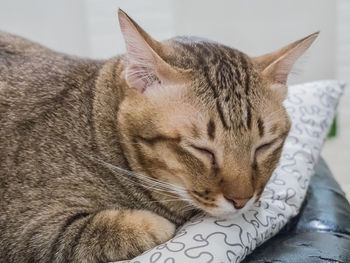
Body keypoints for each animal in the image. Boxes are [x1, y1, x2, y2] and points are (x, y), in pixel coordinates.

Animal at [0, 8, 318, 263]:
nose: (241, 200)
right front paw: (158, 224)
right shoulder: (27, 231)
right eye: (201, 149)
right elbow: (84, 236)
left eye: (264, 146)